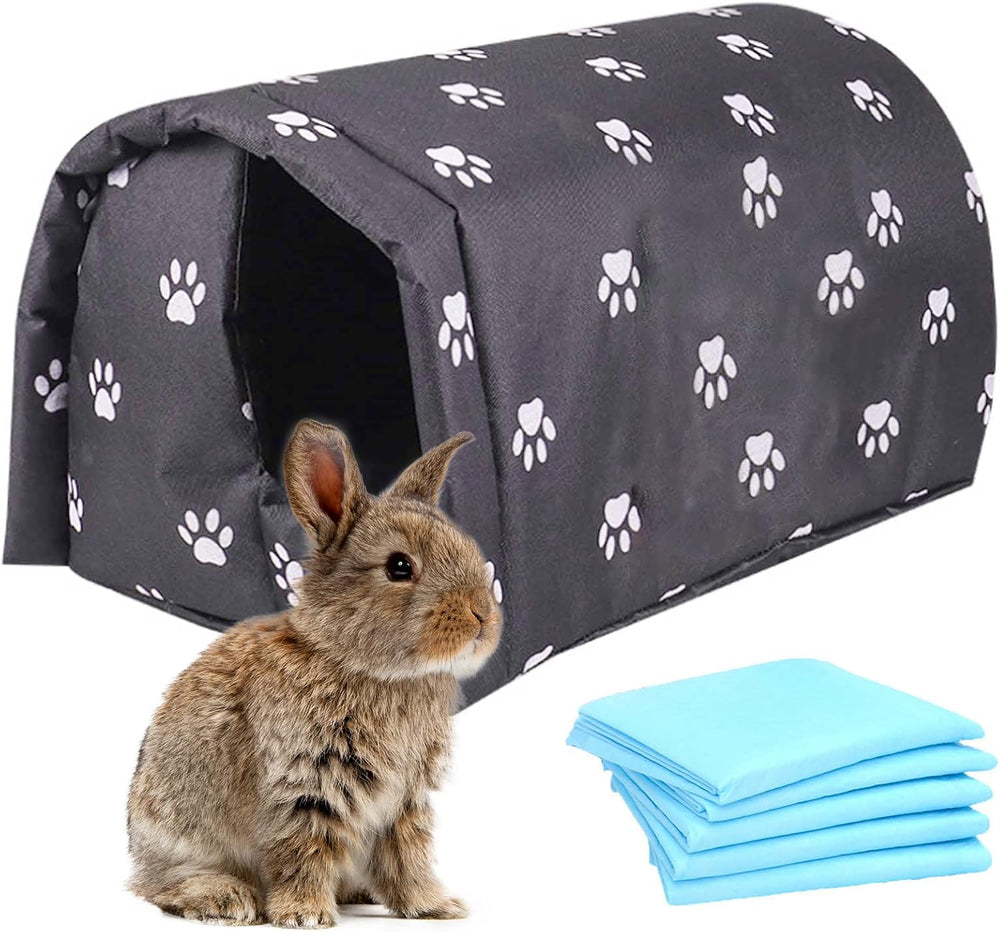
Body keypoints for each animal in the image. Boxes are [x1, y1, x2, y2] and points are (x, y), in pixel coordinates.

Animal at [127, 419, 502, 927]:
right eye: (399, 566)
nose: (481, 616)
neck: (362, 665)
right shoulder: (306, 786)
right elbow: (303, 851)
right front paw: (304, 915)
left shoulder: (402, 803)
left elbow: (407, 858)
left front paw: (435, 907)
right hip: (181, 840)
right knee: (162, 887)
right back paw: (226, 898)